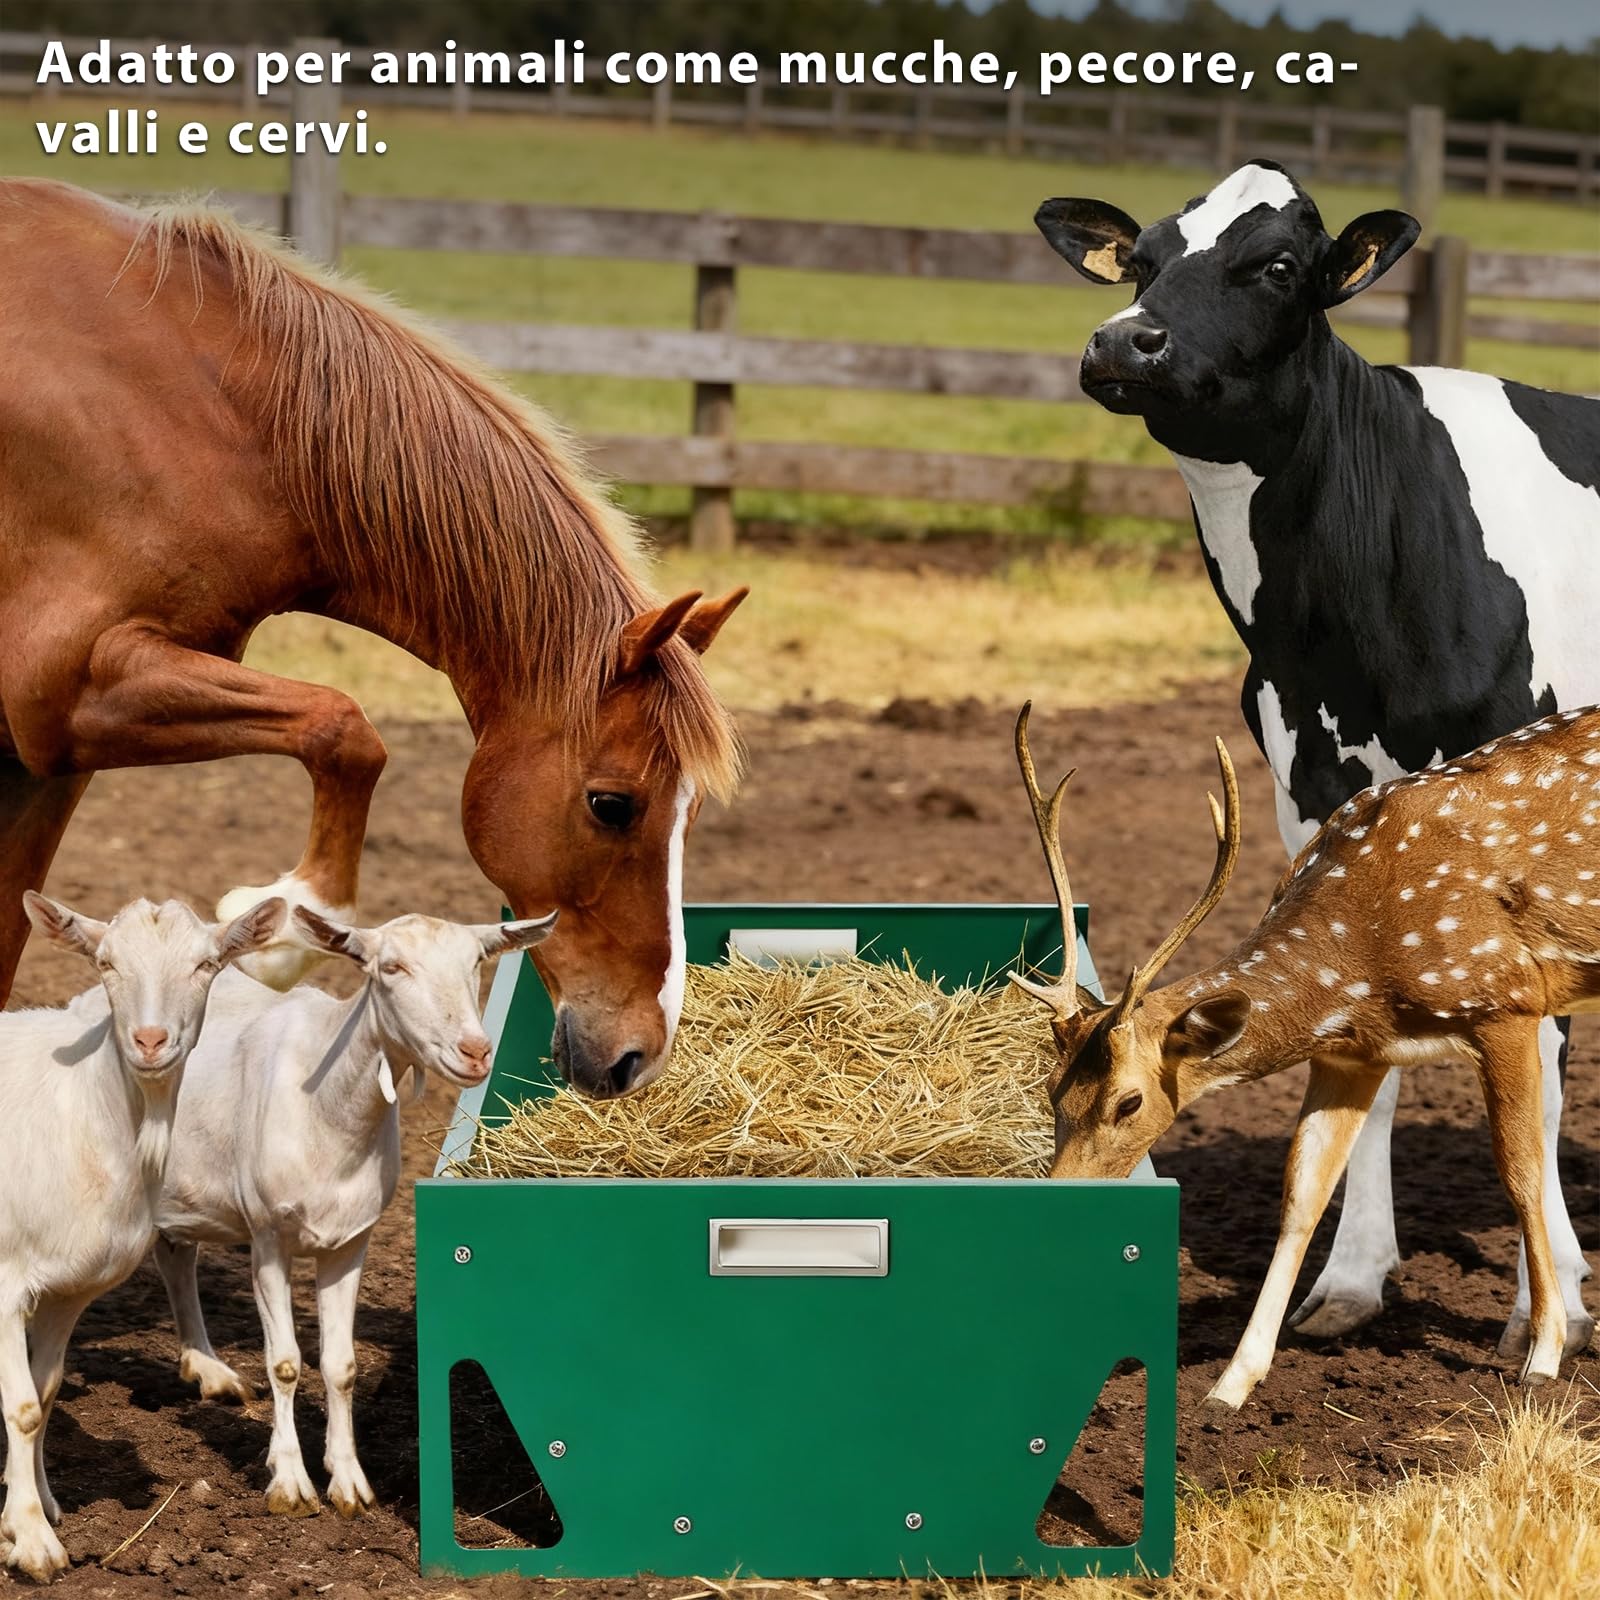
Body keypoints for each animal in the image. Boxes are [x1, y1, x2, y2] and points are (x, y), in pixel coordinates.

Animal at [0, 177, 744, 1100]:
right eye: (612, 804)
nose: (641, 1055)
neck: (205, 409)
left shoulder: (45, 757)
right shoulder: (72, 690)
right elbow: (346, 728)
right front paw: (286, 930)